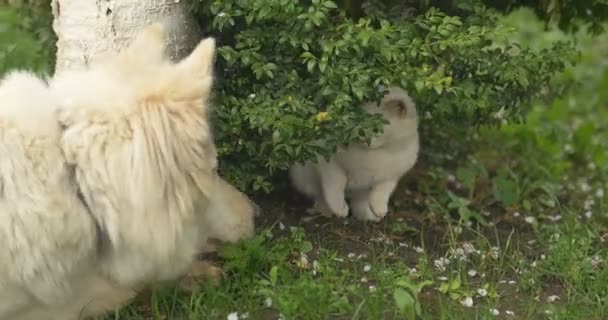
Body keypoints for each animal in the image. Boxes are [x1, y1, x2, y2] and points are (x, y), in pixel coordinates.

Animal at [288, 87, 418, 222]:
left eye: (376, 128)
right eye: (358, 122)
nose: (362, 137)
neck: (377, 153)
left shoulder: (390, 177)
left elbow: (381, 193)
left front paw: (379, 210)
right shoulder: (330, 164)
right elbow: (335, 187)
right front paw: (340, 209)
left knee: (359, 204)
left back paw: (368, 216)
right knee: (319, 196)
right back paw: (326, 211)